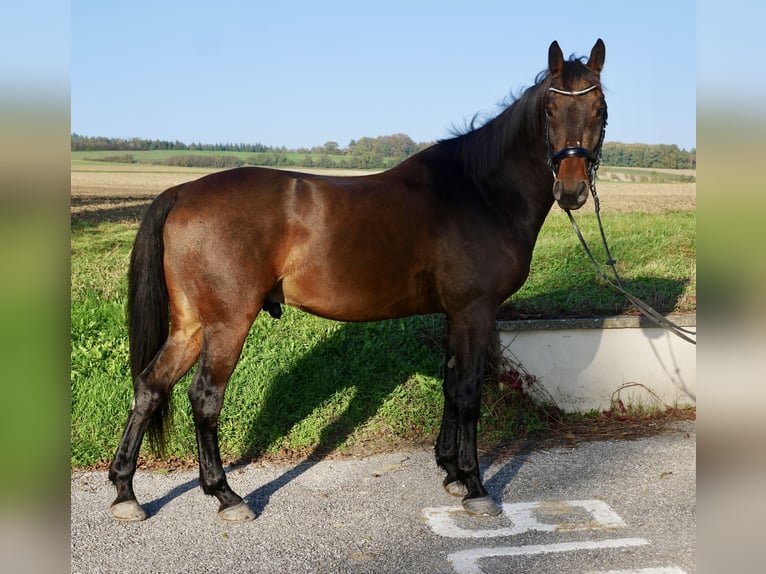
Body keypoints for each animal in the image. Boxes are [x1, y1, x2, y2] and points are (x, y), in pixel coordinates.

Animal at [109, 39, 612, 528]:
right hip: (228, 323)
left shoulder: (456, 315)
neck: (479, 192)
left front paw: (450, 471)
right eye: (550, 109)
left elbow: (452, 387)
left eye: (600, 109)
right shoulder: (475, 312)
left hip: (191, 325)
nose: (571, 190)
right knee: (205, 397)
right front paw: (474, 485)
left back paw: (125, 492)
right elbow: (469, 392)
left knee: (151, 386)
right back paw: (226, 496)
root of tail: (183, 191)